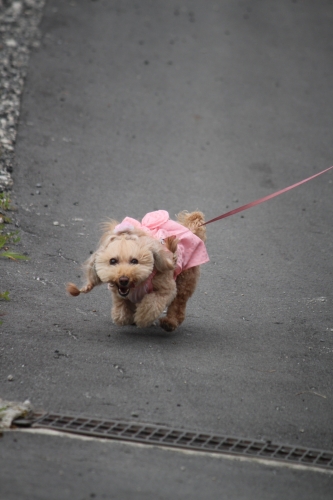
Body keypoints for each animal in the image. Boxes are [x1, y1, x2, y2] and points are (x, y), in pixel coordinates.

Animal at [66, 209, 209, 330]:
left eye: (134, 261)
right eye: (113, 261)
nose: (123, 279)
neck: (137, 284)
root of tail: (189, 228)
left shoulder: (165, 289)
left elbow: (150, 306)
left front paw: (141, 318)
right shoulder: (119, 293)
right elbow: (121, 309)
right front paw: (124, 316)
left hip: (185, 279)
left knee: (179, 302)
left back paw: (170, 323)